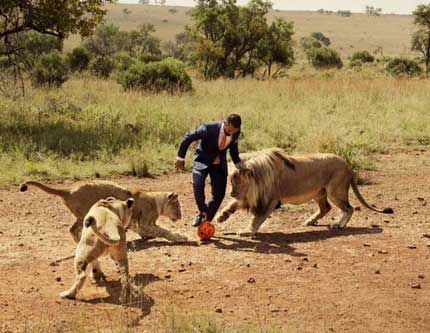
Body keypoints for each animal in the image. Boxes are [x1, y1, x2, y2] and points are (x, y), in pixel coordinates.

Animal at [217, 148, 394, 236]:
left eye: (237, 183)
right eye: (231, 182)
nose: (231, 193)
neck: (258, 178)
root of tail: (347, 164)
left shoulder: (270, 200)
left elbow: (257, 218)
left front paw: (247, 231)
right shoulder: (249, 197)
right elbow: (232, 205)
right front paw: (221, 216)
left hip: (334, 191)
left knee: (349, 208)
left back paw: (338, 224)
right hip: (319, 193)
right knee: (326, 208)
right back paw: (310, 221)